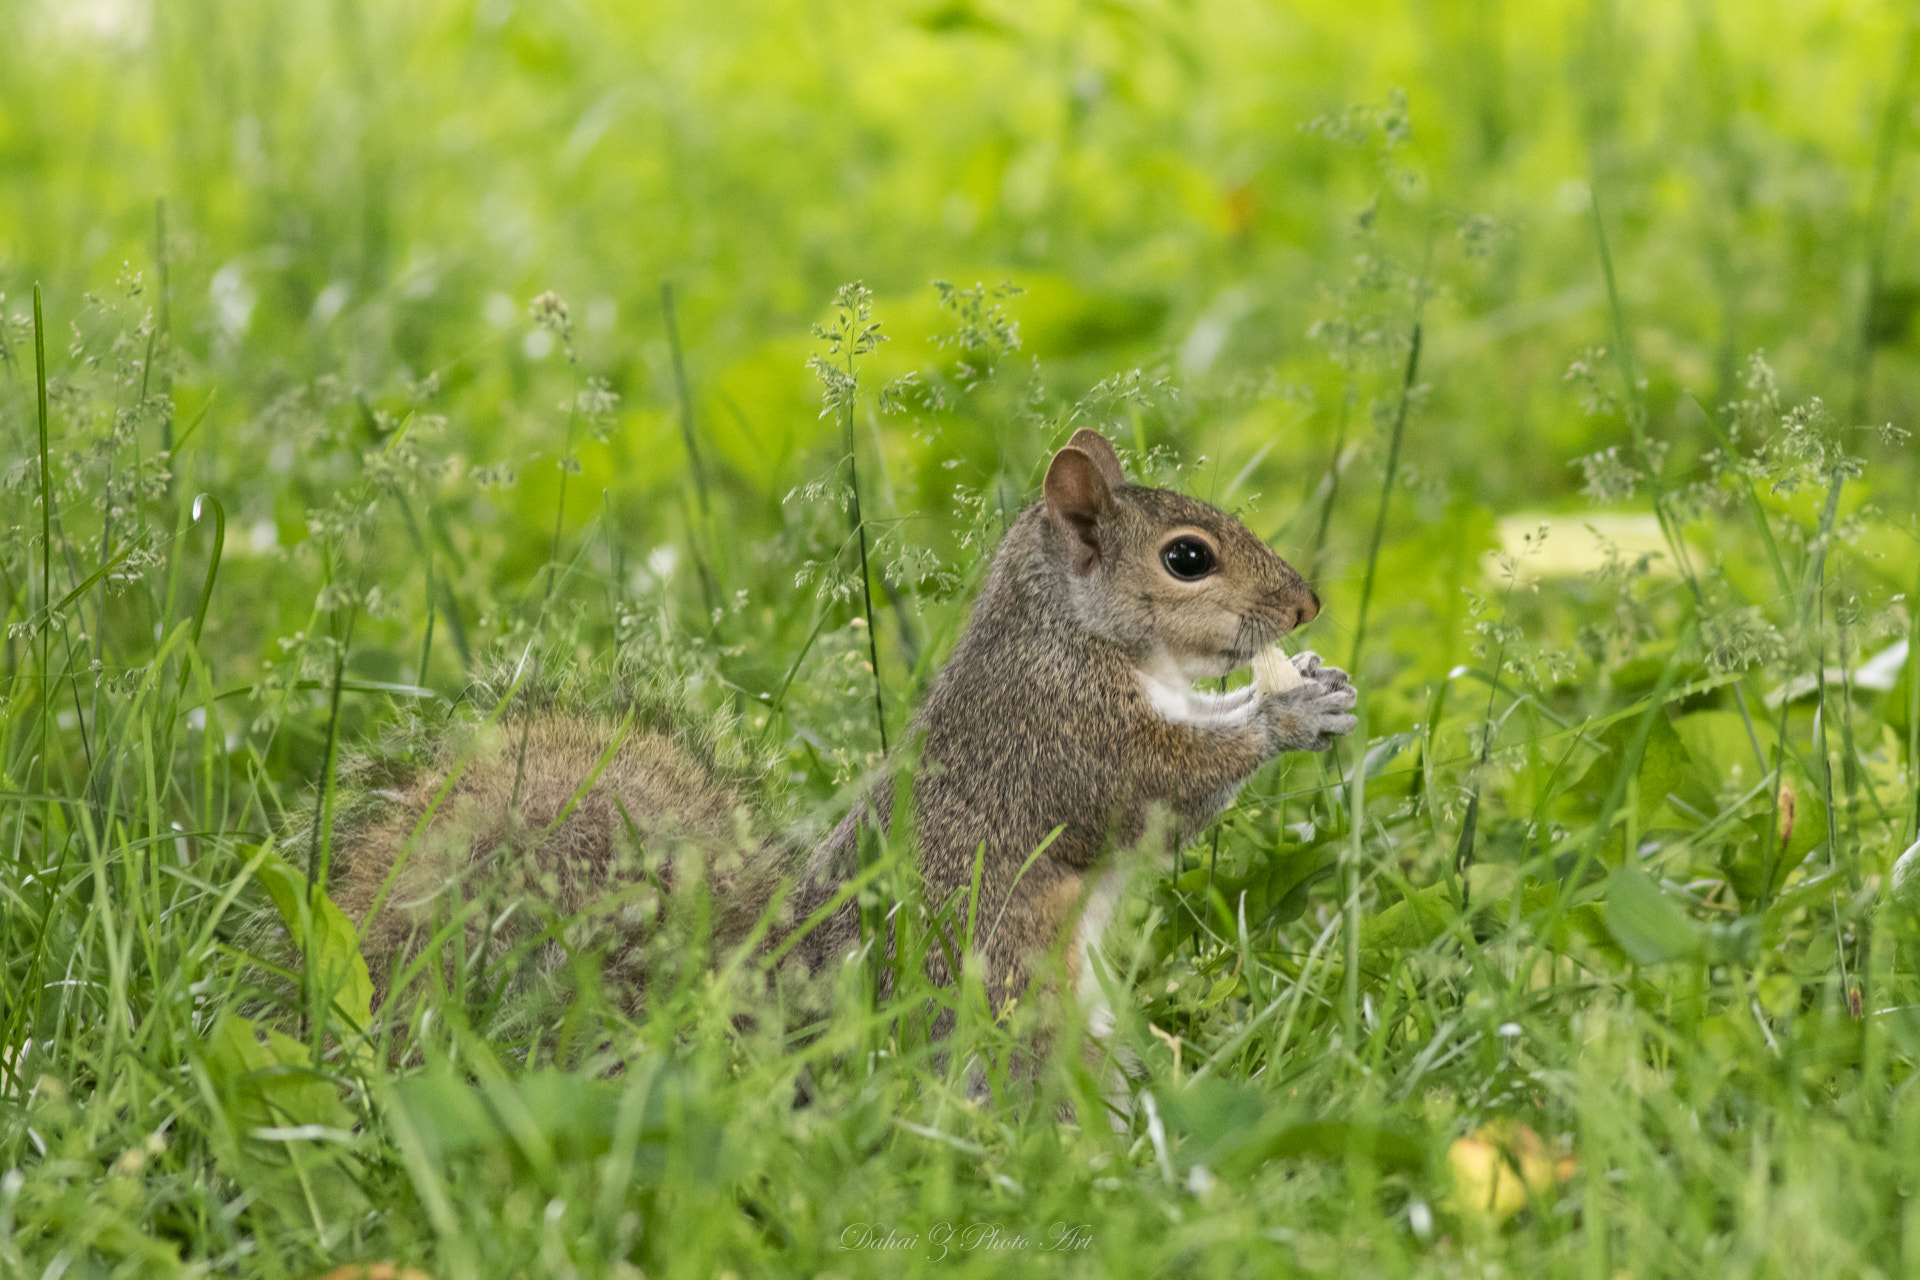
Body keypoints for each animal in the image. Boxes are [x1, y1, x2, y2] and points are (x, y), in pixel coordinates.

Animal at [326, 435, 1351, 1036]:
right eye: (1187, 558)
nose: (1307, 605)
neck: (1076, 634)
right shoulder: (1068, 735)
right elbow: (1167, 785)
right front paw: (1289, 716)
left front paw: (1319, 683)